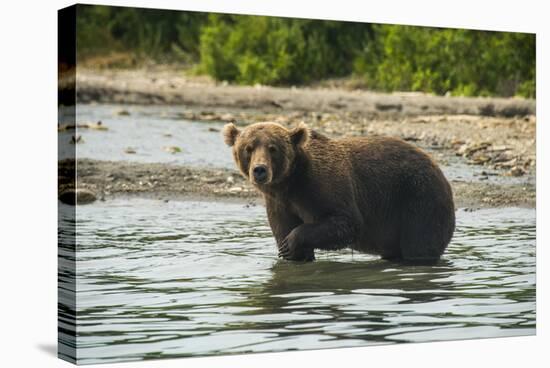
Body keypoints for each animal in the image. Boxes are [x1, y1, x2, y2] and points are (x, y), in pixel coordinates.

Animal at [223, 122, 458, 264]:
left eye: (273, 148)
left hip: (418, 199)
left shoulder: (323, 186)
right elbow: (284, 230)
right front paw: (290, 251)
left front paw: (290, 243)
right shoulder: (279, 203)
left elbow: (346, 222)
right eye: (248, 148)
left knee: (420, 243)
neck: (291, 182)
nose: (260, 170)